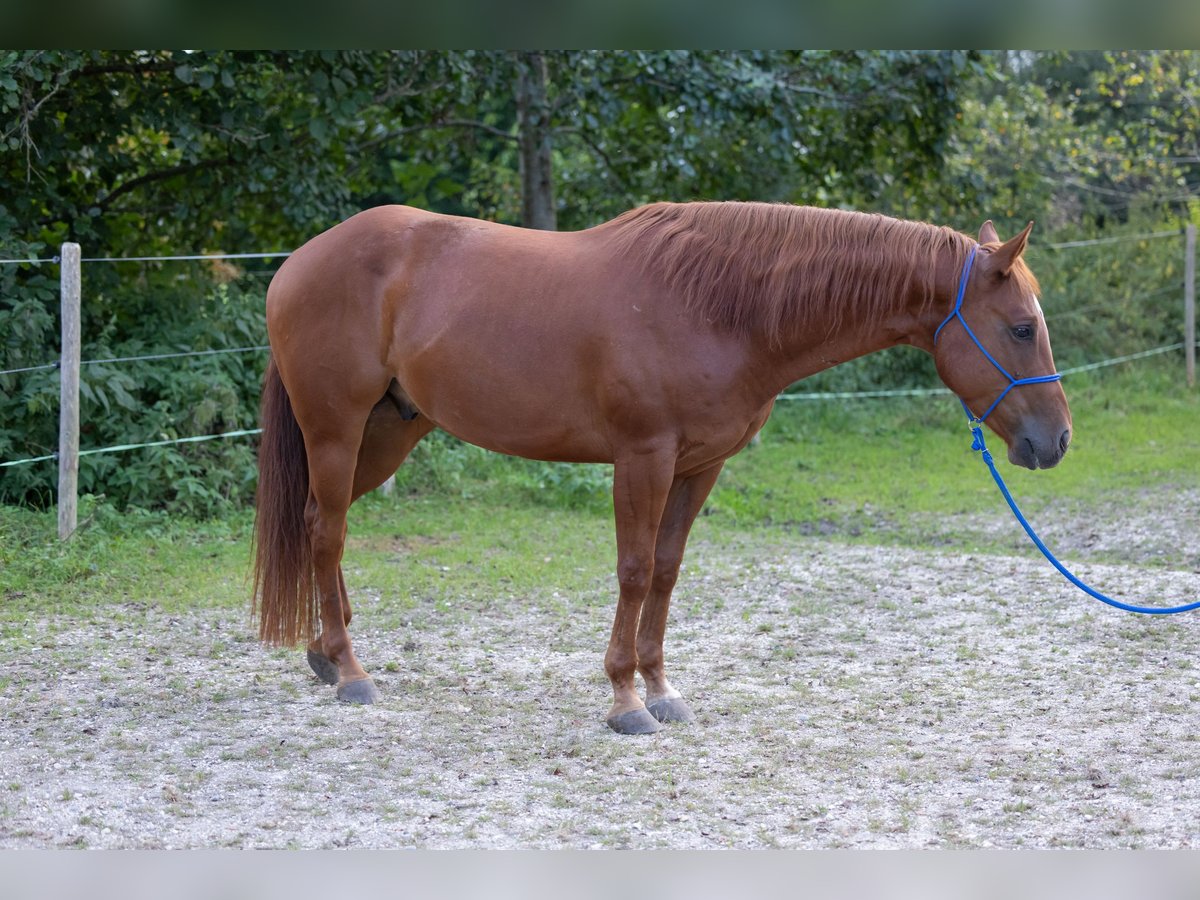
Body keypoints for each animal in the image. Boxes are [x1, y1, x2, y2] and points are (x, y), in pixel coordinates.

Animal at [250, 200, 1070, 734]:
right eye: (1020, 329)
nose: (1055, 441)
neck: (719, 305)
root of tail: (298, 262)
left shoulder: (700, 467)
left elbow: (668, 572)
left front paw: (661, 689)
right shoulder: (642, 459)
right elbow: (635, 570)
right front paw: (625, 702)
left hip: (387, 432)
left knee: (325, 527)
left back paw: (326, 655)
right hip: (337, 430)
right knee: (324, 532)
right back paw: (351, 674)